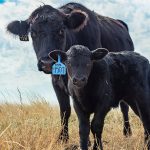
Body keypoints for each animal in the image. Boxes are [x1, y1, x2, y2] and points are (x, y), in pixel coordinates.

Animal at [6, 2, 134, 142]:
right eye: (33, 33)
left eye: (61, 31)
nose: (47, 63)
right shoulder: (56, 83)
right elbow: (65, 110)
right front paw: (63, 138)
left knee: (124, 107)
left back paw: (127, 132)